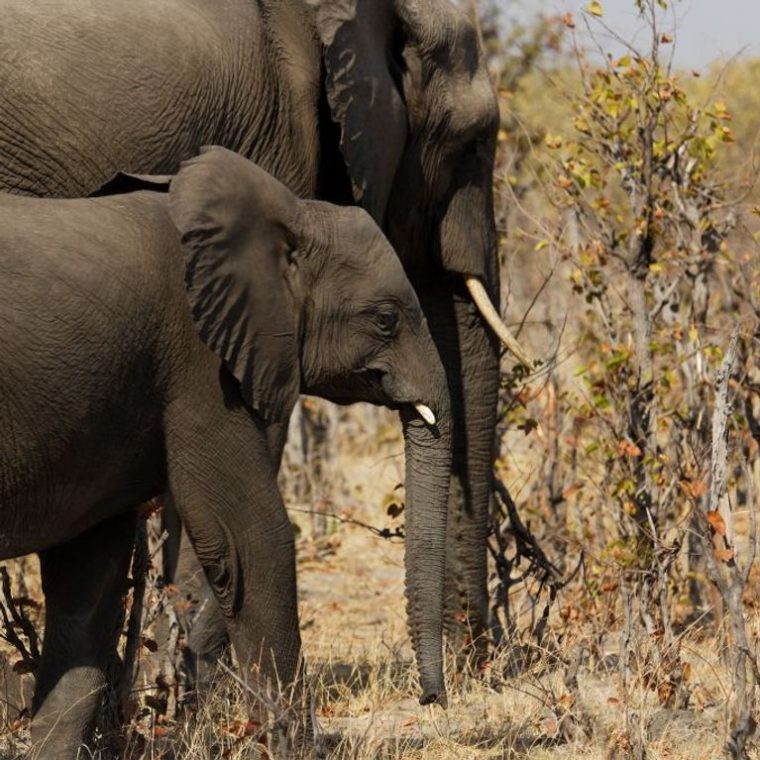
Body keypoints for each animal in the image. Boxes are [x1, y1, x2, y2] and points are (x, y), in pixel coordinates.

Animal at [0, 145, 452, 756]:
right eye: (386, 319)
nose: (431, 699)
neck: (290, 212)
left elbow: (90, 576)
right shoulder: (200, 363)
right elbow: (252, 537)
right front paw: (299, 750)